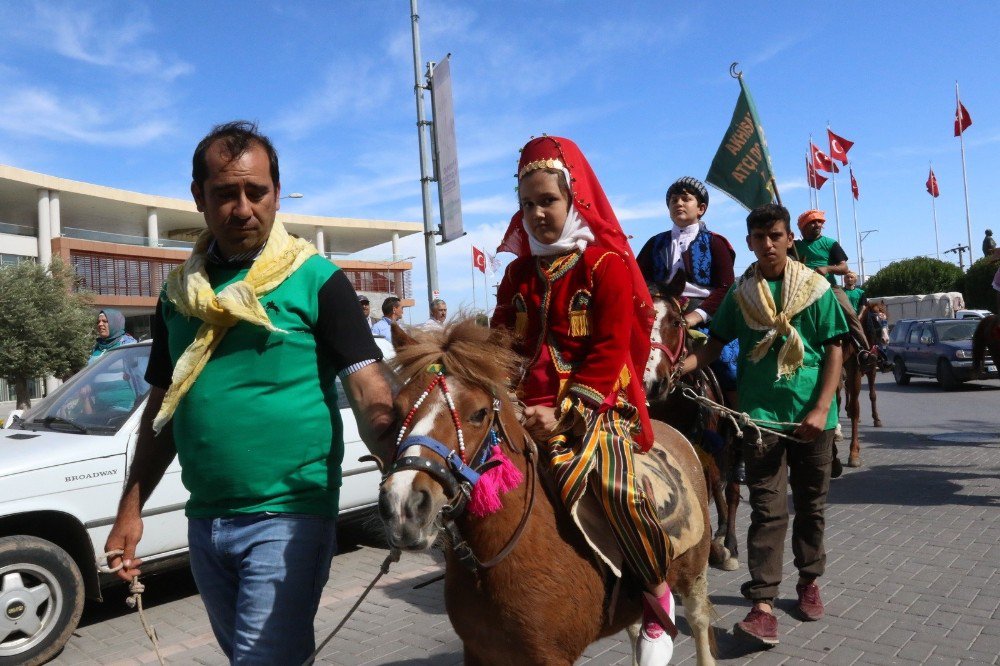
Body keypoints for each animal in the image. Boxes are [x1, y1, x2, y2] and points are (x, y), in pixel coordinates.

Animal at [378, 320, 716, 664]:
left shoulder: (549, 657)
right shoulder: (477, 651)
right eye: (397, 411)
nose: (405, 504)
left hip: (694, 571)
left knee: (698, 618)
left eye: (478, 413)